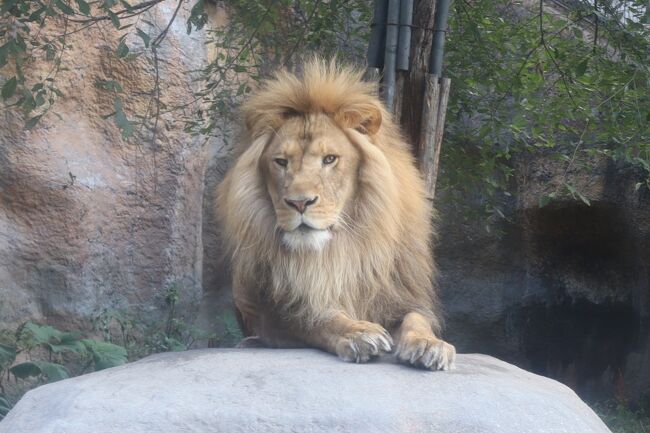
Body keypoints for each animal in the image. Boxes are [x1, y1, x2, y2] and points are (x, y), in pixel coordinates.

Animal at [215, 57, 454, 370]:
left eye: (329, 159)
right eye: (281, 162)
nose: (299, 203)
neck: (337, 252)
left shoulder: (403, 295)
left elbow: (417, 319)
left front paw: (429, 344)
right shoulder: (273, 310)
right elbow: (315, 318)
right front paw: (358, 332)